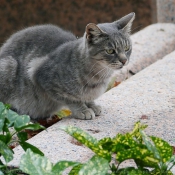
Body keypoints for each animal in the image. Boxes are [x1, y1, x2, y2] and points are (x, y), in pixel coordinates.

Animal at [0, 12, 135, 120]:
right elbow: (71, 99)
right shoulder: (41, 76)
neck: (99, 76)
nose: (124, 60)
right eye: (110, 51)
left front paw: (92, 105)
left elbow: (87, 97)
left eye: (127, 48)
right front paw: (83, 109)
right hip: (9, 66)